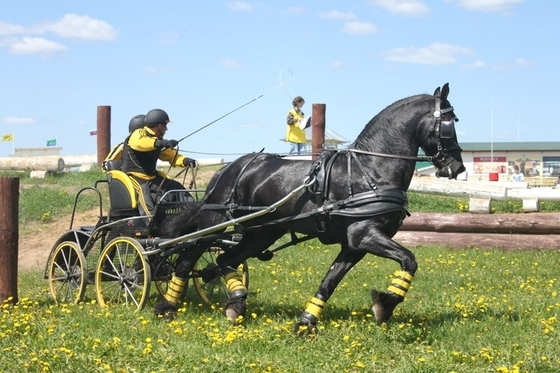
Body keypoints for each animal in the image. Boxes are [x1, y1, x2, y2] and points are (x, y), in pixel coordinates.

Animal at [156, 82, 464, 332]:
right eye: (451, 122)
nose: (457, 167)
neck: (371, 169)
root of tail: (226, 169)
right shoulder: (363, 234)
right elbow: (409, 259)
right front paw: (384, 304)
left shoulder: (353, 245)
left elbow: (330, 280)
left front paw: (307, 322)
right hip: (214, 223)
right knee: (187, 259)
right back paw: (168, 306)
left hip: (262, 233)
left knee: (224, 260)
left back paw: (236, 305)